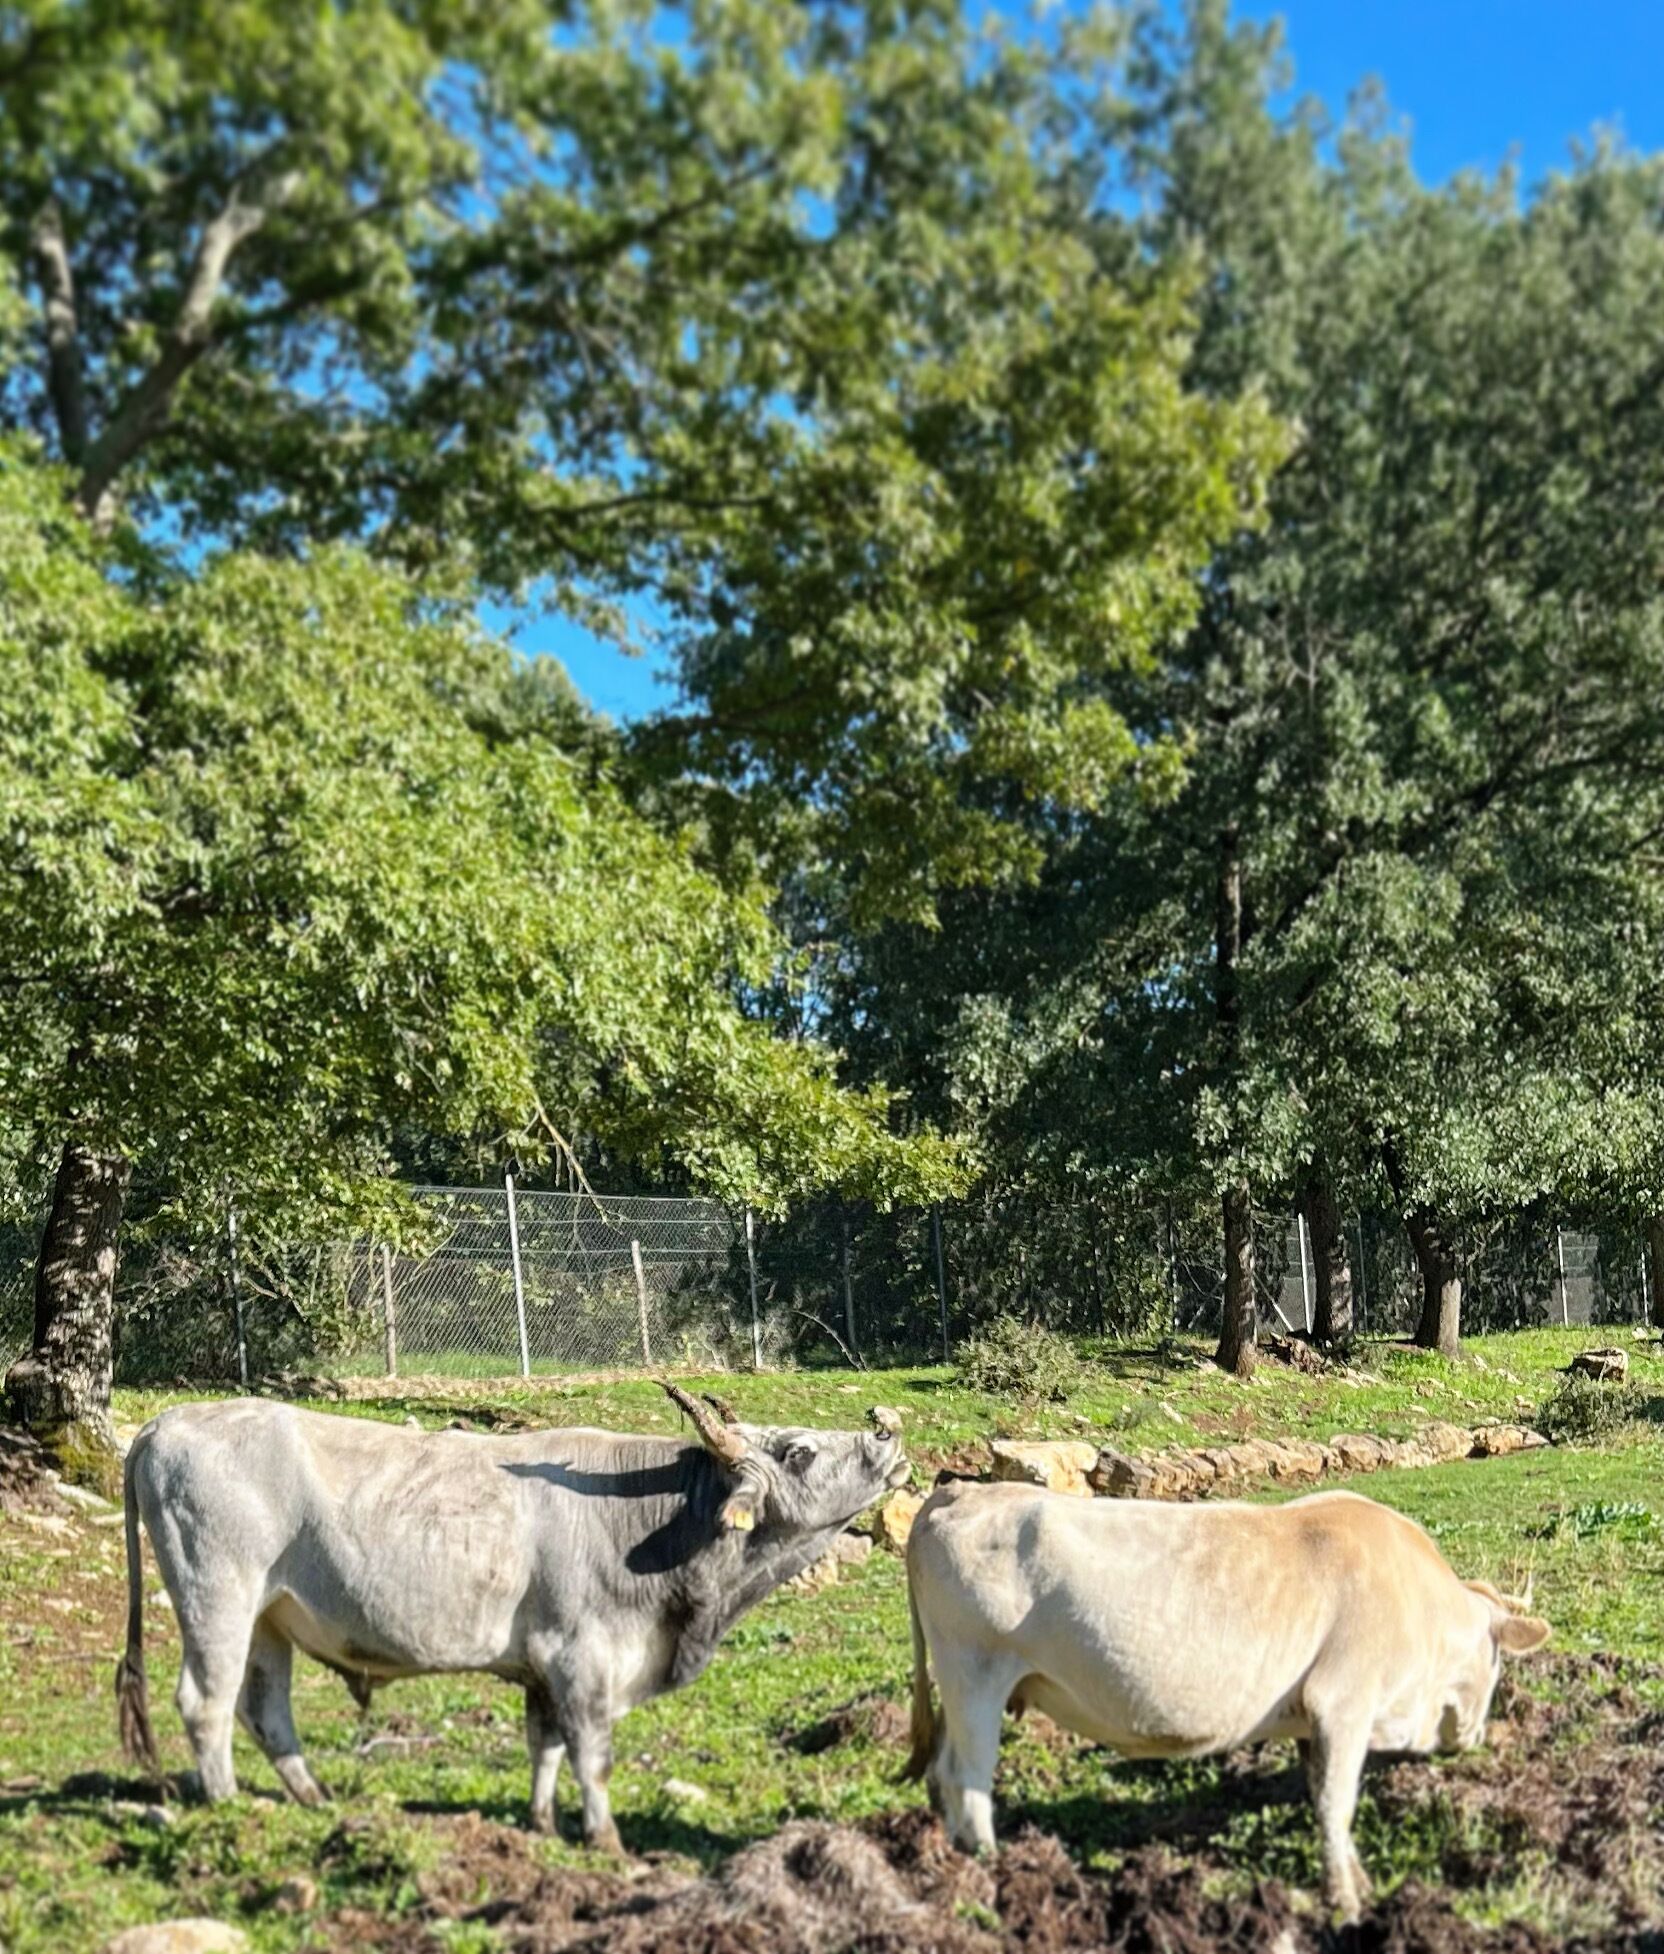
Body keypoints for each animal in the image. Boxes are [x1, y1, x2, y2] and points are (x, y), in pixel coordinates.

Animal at [114, 1383, 908, 1850]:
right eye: (799, 1450)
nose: (887, 1439)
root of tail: (166, 1422)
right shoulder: (581, 1656)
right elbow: (591, 1754)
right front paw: (605, 1838)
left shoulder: (543, 1669)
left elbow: (545, 1747)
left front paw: (542, 1822)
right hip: (217, 1595)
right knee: (207, 1700)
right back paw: (226, 1804)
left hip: (270, 1618)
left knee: (264, 1706)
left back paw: (312, 1799)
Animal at [903, 1480, 1550, 1919]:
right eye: (1497, 1662)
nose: (1476, 1736)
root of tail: (958, 1490)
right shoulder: (1344, 1699)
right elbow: (1337, 1804)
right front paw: (1346, 1901)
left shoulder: (1312, 1721)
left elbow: (1320, 1794)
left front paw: (1356, 1881)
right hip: (974, 1671)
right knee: (967, 1779)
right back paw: (993, 1872)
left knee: (942, 1772)